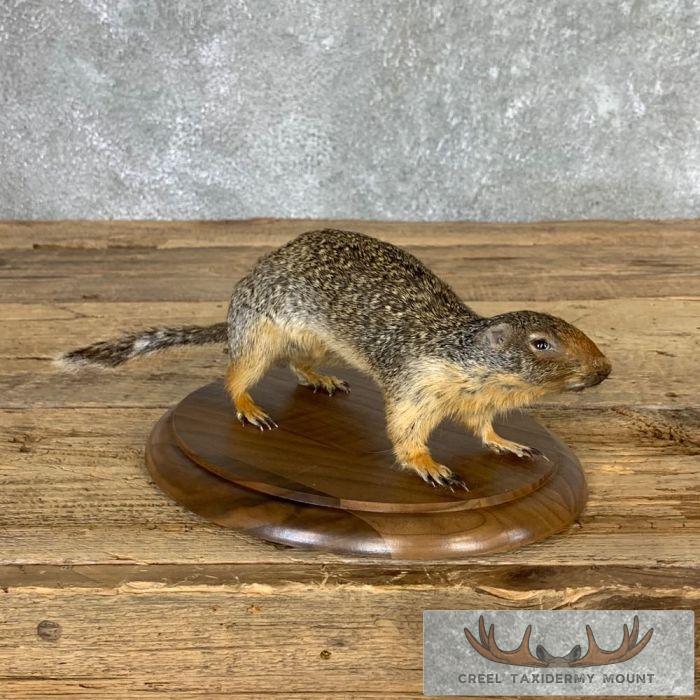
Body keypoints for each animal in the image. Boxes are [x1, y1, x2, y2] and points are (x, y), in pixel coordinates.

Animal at [58, 229, 611, 491]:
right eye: (541, 343)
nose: (606, 369)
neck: (477, 367)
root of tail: (233, 315)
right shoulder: (416, 386)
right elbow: (405, 432)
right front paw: (431, 466)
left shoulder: (480, 402)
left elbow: (484, 429)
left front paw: (510, 444)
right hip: (259, 337)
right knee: (235, 375)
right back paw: (251, 408)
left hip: (315, 344)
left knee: (296, 364)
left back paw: (323, 380)